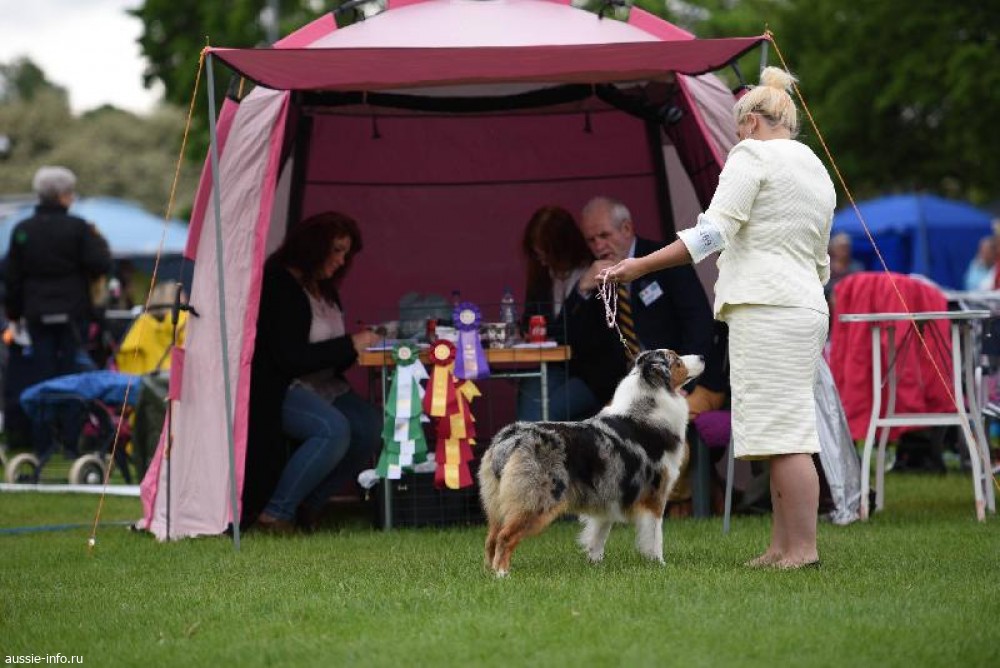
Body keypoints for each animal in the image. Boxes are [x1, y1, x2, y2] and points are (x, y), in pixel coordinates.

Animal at [478, 349, 705, 576]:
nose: (703, 357)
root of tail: (509, 439)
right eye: (677, 361)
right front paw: (659, 564)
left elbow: (598, 536)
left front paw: (595, 565)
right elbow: (655, 536)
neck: (646, 408)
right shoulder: (654, 496)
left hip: (497, 503)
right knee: (505, 537)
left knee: (490, 539)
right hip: (537, 501)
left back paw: (490, 574)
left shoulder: (608, 496)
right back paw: (502, 574)